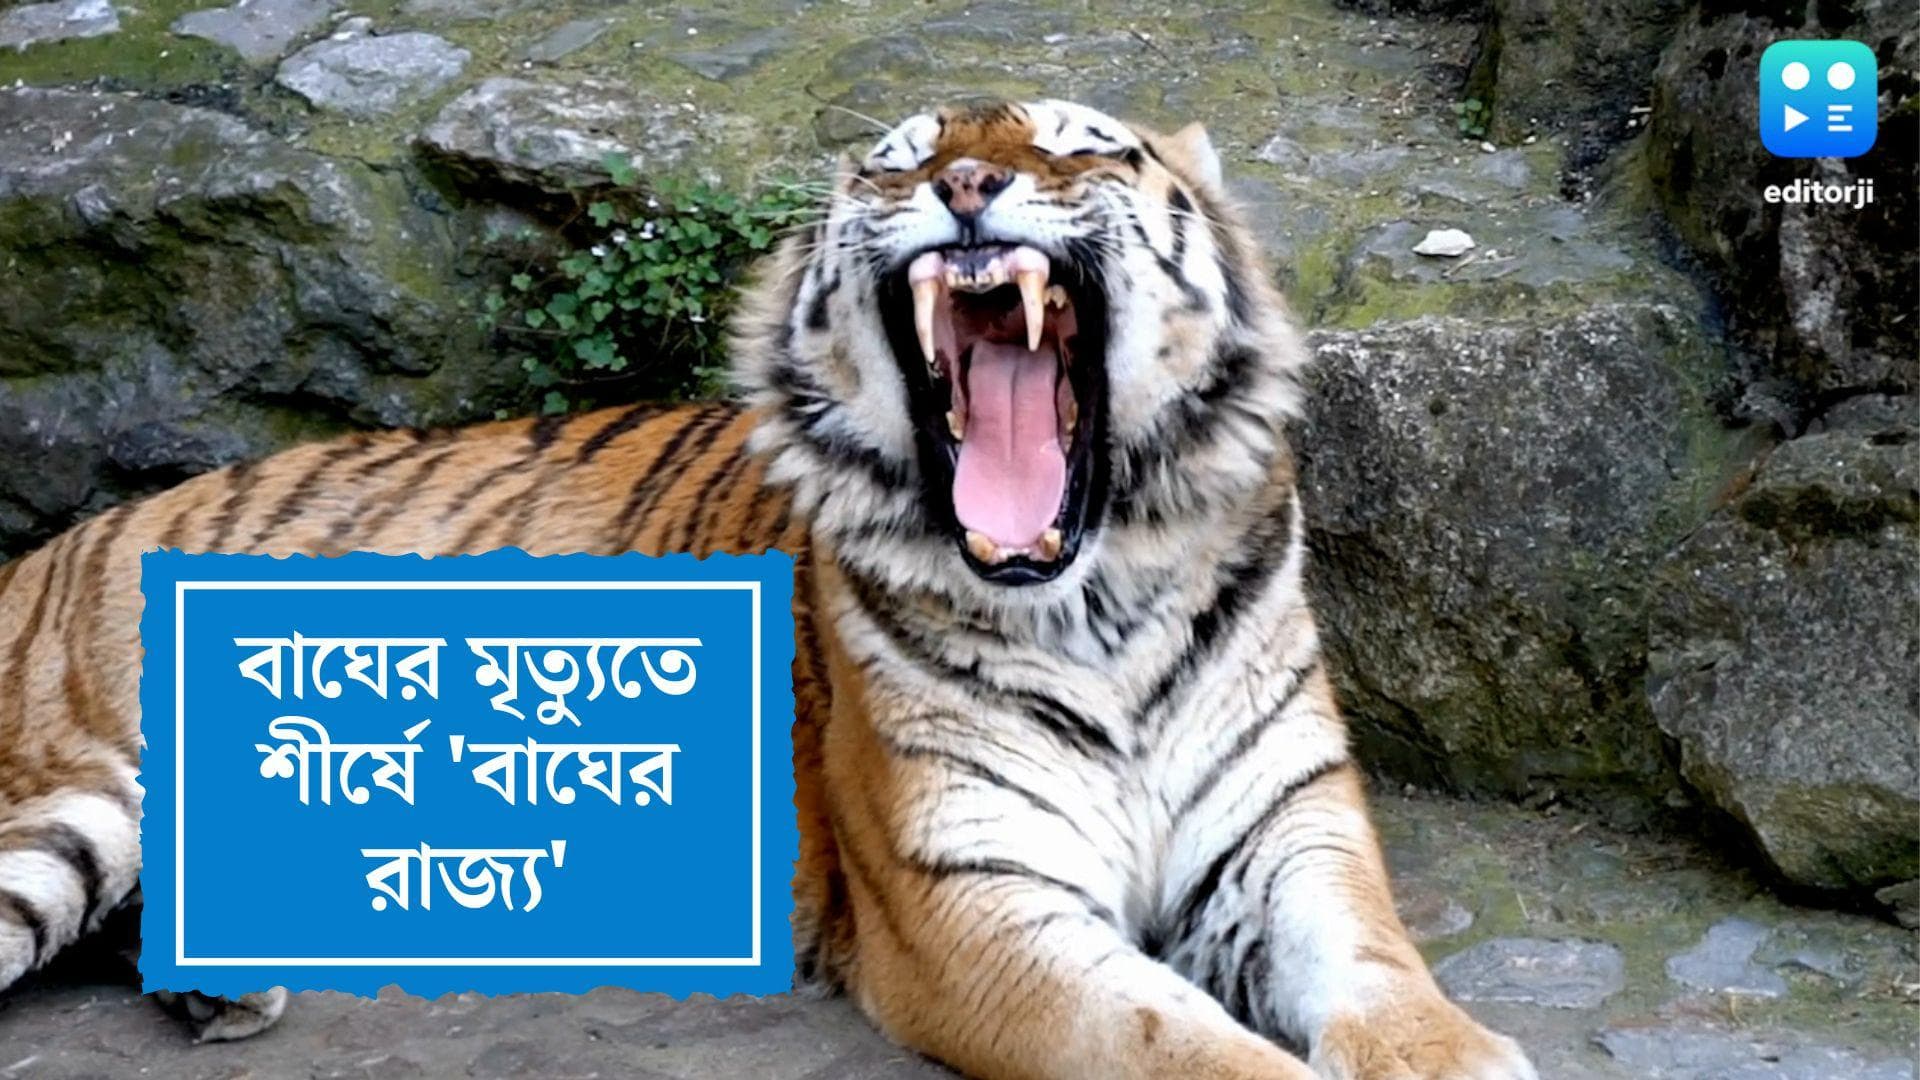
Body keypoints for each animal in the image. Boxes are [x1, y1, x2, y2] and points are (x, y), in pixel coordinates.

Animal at [0, 98, 1535, 1078]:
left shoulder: (1291, 836)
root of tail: (49, 547)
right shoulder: (971, 905)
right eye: (895, 166)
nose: (963, 188)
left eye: (1074, 142)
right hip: (80, 801)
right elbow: (1180, 1046)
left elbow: (1391, 988)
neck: (1098, 597)